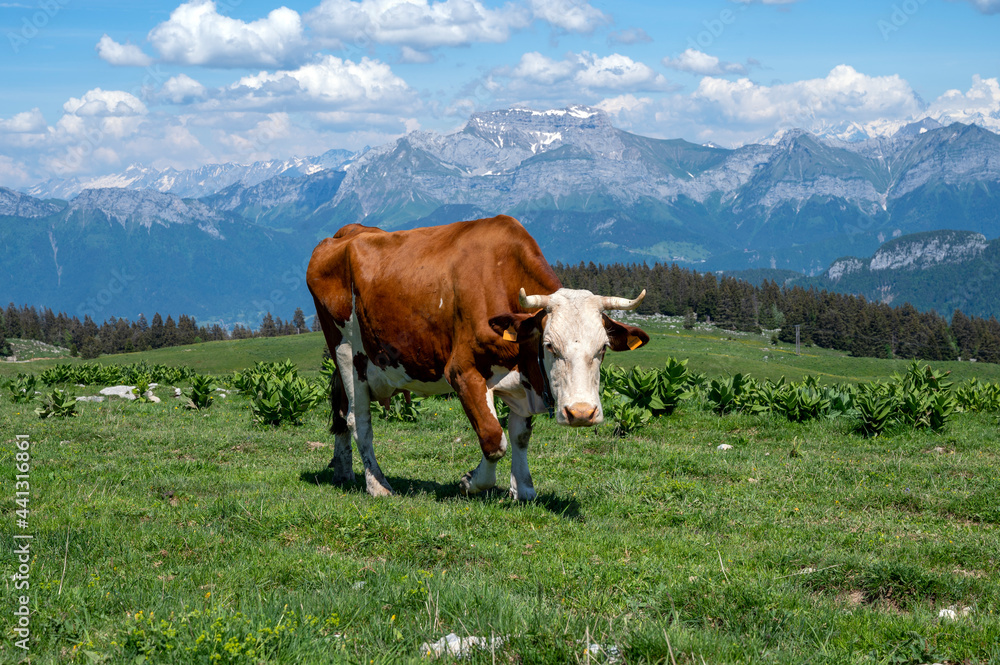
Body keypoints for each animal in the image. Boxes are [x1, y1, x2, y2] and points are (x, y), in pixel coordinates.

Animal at [304, 215, 648, 500]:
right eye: (550, 345)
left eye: (602, 348)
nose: (581, 413)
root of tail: (343, 234)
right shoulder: (463, 372)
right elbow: (493, 438)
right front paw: (471, 482)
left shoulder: (522, 381)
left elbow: (520, 436)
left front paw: (523, 489)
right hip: (347, 354)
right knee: (359, 420)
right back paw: (377, 485)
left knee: (341, 412)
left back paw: (343, 471)